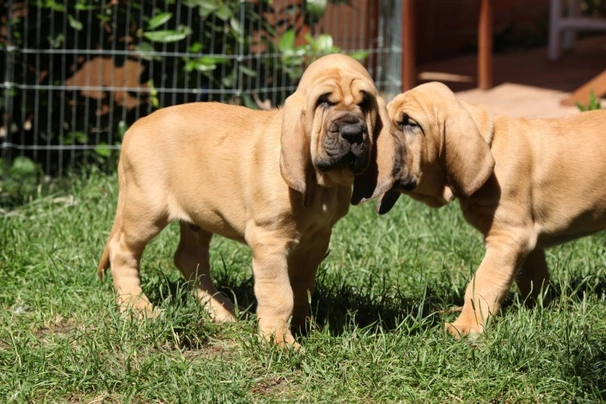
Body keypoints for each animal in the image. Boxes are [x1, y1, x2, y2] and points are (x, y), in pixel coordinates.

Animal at [97, 53, 402, 348]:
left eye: (365, 103)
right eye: (324, 101)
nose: (353, 133)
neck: (319, 185)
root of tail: (132, 129)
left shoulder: (317, 239)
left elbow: (302, 285)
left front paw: (303, 326)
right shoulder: (269, 241)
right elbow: (280, 294)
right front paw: (278, 342)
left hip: (199, 217)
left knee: (189, 259)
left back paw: (221, 310)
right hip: (146, 209)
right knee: (122, 250)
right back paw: (138, 308)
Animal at [382, 80, 606, 336]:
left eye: (410, 123)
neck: (490, 142)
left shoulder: (509, 236)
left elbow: (483, 281)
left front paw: (465, 327)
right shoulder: (526, 239)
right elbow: (533, 277)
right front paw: (540, 309)